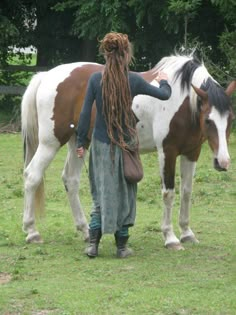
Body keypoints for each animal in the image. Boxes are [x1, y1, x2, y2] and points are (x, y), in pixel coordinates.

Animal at [21, 55, 235, 252]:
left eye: (230, 119)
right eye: (208, 120)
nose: (223, 162)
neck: (181, 101)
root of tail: (46, 76)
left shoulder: (192, 152)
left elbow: (186, 192)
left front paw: (187, 233)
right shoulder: (167, 152)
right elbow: (169, 194)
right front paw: (170, 237)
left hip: (78, 141)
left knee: (70, 180)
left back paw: (86, 230)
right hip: (50, 143)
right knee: (32, 176)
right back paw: (32, 231)